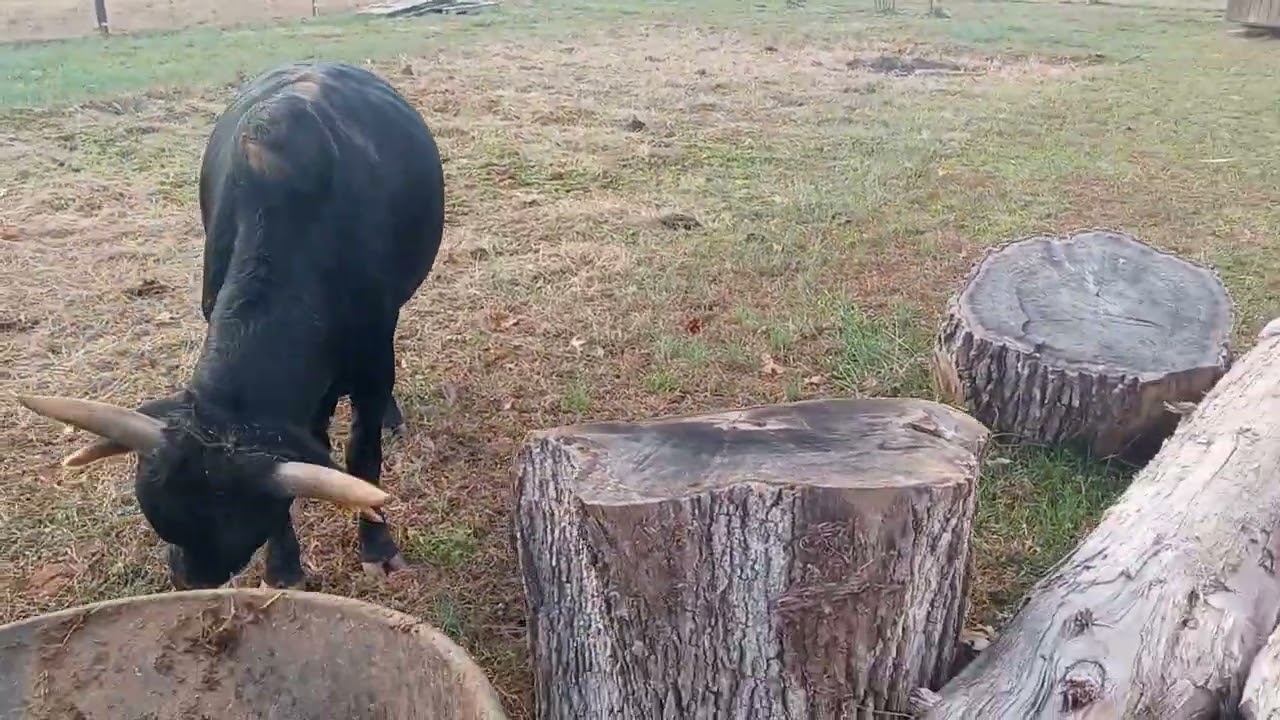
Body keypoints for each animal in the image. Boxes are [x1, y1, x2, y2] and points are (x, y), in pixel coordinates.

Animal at [17, 60, 446, 591]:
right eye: (162, 520)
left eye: (239, 526)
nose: (188, 581)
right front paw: (283, 570)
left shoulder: (373, 354)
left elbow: (363, 456)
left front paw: (378, 548)